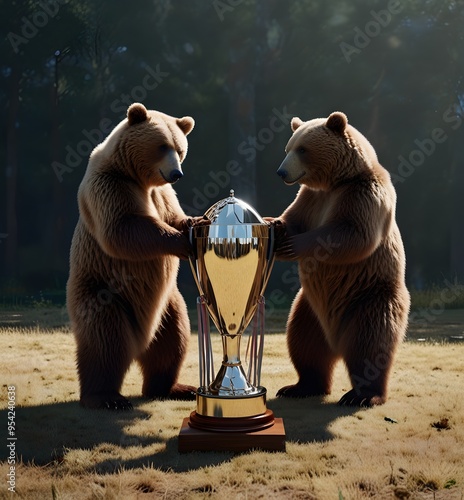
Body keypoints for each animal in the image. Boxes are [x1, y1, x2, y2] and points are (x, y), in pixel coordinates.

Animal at [68, 102, 198, 410]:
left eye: (180, 148)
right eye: (162, 146)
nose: (177, 174)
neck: (141, 179)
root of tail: (141, 340)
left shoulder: (163, 195)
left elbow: (173, 216)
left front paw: (196, 222)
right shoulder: (111, 186)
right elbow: (125, 227)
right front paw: (183, 242)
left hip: (168, 305)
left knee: (173, 341)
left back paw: (174, 387)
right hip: (104, 294)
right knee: (105, 343)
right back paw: (105, 397)